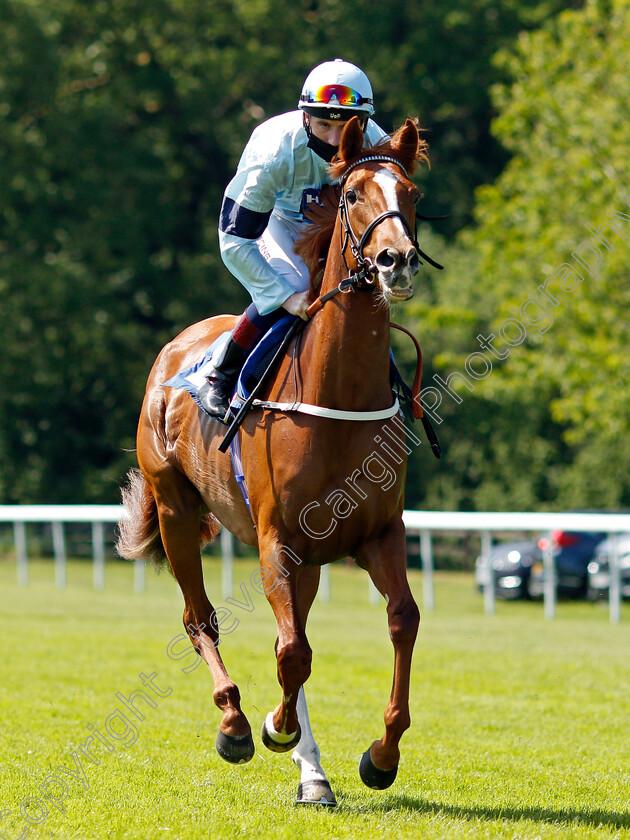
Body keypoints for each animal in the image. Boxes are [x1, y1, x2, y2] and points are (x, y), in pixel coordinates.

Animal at [117, 118, 434, 808]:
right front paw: (273, 728)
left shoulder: (378, 532)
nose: (395, 260)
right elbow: (292, 654)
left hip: (309, 558)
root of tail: (175, 348)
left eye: (412, 193)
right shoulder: (276, 540)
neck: (335, 395)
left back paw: (312, 774)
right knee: (201, 619)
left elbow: (401, 620)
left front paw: (381, 754)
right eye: (351, 195)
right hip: (177, 509)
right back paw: (235, 720)